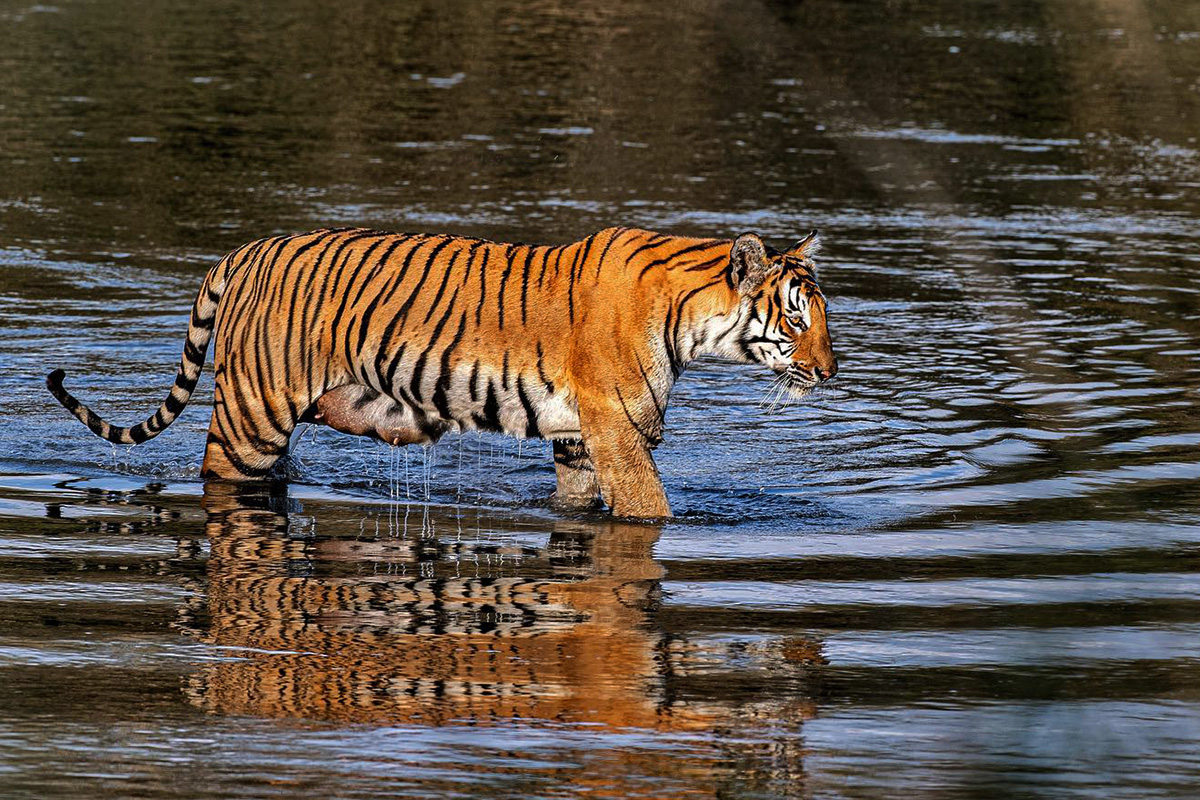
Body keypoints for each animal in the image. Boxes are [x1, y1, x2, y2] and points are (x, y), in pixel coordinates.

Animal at [46, 224, 835, 520]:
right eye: (797, 321)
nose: (831, 370)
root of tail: (243, 250)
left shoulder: (580, 440)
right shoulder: (618, 430)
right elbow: (651, 512)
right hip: (250, 418)